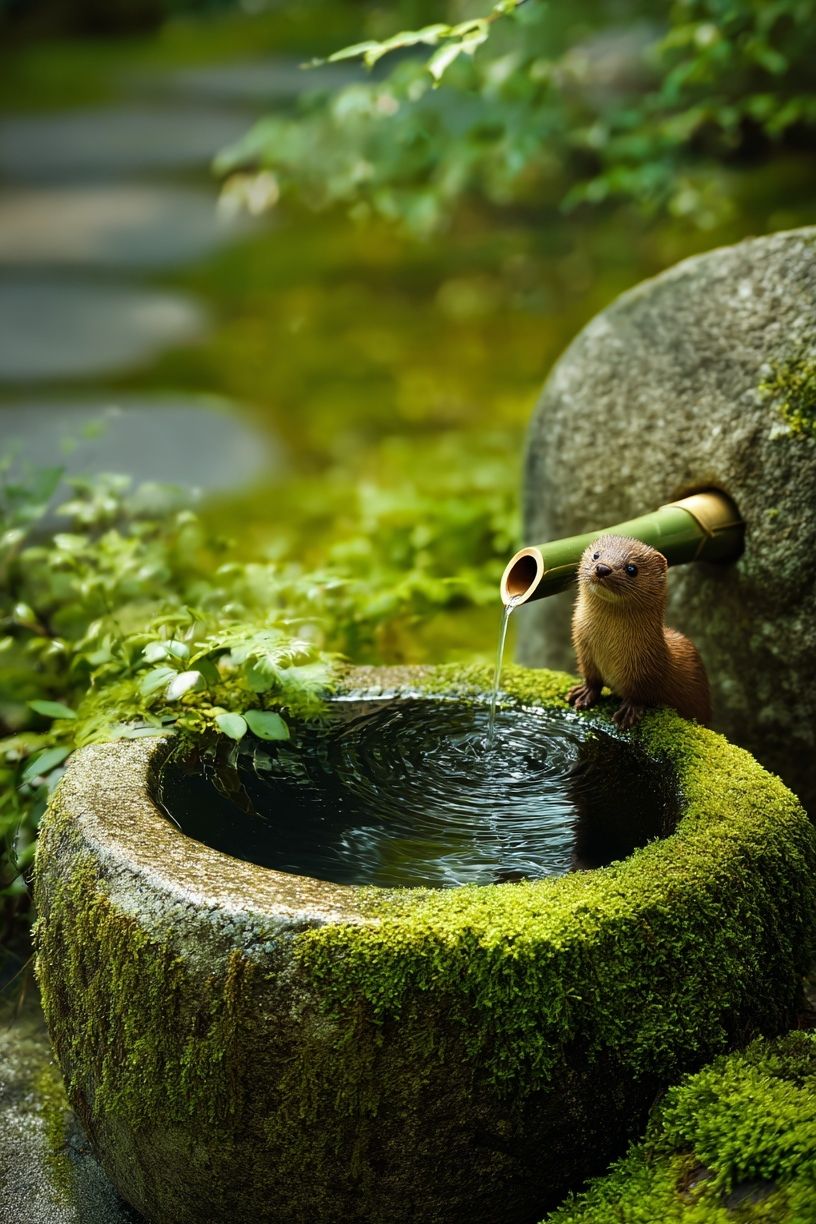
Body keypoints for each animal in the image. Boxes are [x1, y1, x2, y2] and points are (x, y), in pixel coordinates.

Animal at [566, 534, 711, 729]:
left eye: (631, 568)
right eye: (596, 555)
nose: (602, 568)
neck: (606, 648)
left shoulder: (646, 669)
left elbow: (640, 694)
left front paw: (628, 712)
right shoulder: (584, 650)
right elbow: (592, 679)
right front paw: (582, 693)